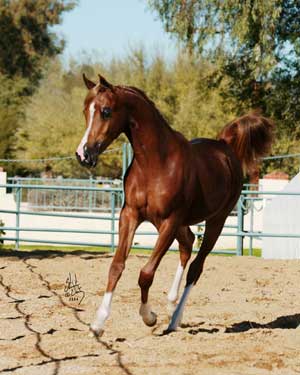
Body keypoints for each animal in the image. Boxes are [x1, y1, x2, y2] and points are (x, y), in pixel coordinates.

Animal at [75, 75, 274, 336]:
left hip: (215, 221)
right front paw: (98, 323)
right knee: (187, 244)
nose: (83, 155)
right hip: (179, 224)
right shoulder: (130, 215)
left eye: (106, 111)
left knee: (196, 267)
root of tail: (225, 147)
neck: (155, 163)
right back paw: (171, 305)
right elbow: (116, 266)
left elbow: (146, 273)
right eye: (85, 111)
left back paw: (174, 318)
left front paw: (149, 317)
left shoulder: (169, 221)